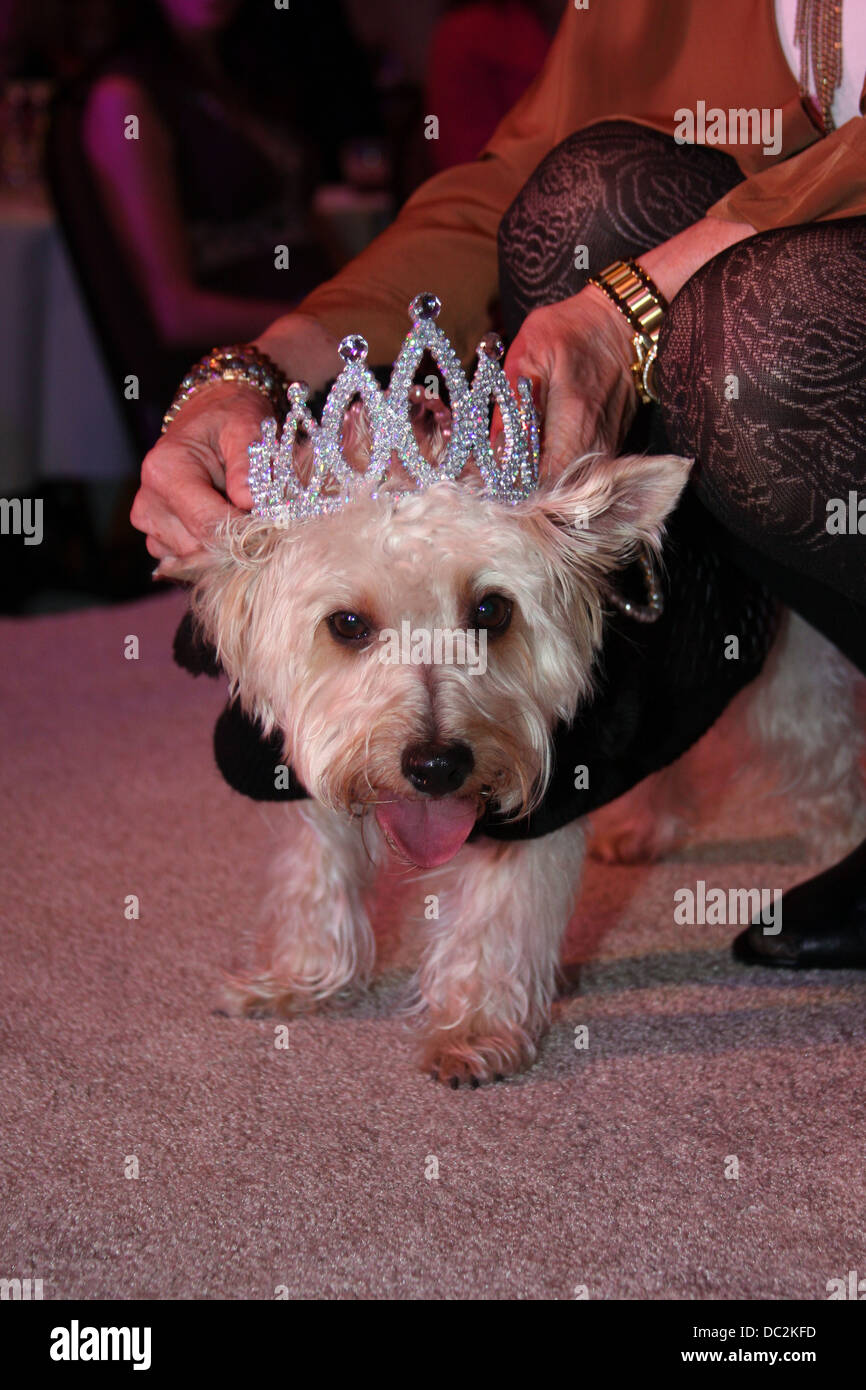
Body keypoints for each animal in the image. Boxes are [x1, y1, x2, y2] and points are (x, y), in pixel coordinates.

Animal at [180, 301, 861, 1084]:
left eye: (491, 610)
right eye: (347, 624)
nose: (437, 767)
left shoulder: (540, 801)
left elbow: (496, 919)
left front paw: (474, 1030)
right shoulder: (310, 770)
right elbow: (313, 873)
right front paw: (298, 979)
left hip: (788, 678)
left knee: (827, 762)